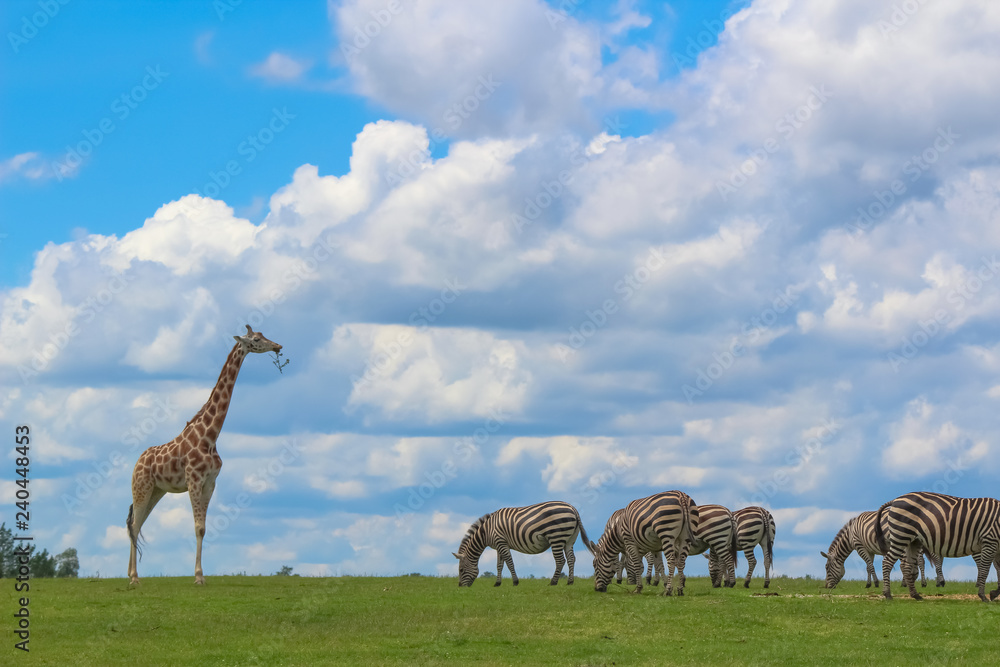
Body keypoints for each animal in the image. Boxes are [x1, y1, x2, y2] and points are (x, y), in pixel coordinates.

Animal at [126, 325, 283, 585]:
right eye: (257, 339)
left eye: (264, 335)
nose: (278, 346)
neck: (210, 437)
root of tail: (136, 463)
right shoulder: (194, 479)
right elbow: (198, 526)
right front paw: (198, 577)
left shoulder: (210, 482)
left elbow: (204, 528)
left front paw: (202, 575)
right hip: (141, 487)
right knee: (135, 525)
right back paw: (134, 578)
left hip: (156, 491)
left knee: (135, 525)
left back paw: (131, 575)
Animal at [453, 500, 593, 587]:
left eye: (461, 569)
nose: (460, 587)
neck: (486, 531)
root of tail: (572, 508)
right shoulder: (499, 545)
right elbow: (499, 565)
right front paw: (497, 583)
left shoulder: (501, 541)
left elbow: (509, 562)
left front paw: (515, 582)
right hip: (569, 539)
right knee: (571, 559)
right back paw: (570, 581)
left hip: (556, 537)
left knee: (560, 560)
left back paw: (553, 582)